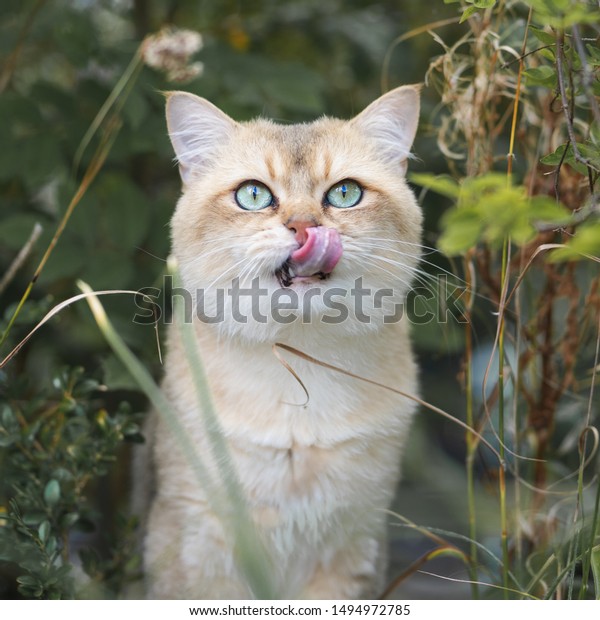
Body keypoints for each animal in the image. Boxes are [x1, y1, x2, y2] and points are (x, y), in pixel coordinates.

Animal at [137, 85, 422, 600]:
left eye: (345, 193)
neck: (297, 366)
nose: (305, 228)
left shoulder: (352, 543)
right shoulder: (199, 541)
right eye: (254, 195)